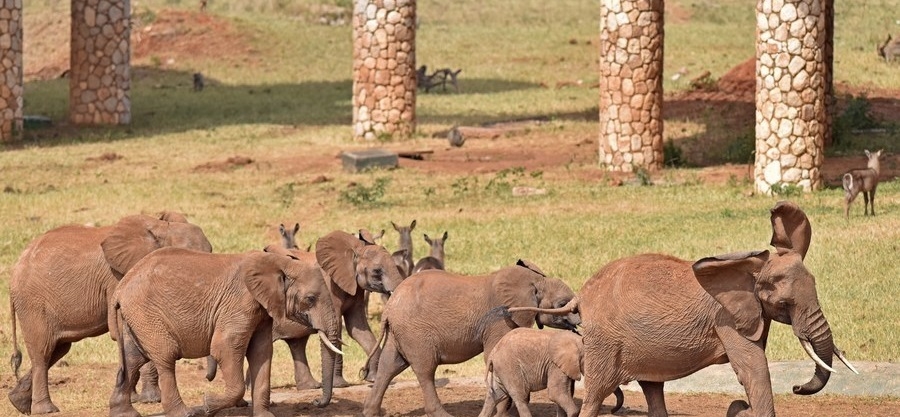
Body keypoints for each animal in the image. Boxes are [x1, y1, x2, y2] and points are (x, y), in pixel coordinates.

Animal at [7, 212, 212, 415]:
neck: (161, 229)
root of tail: (15, 268)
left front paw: (139, 398)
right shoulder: (120, 277)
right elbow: (128, 332)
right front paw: (149, 399)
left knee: (58, 348)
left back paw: (18, 403)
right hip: (32, 303)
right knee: (42, 351)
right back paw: (46, 410)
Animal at [108, 247, 343, 417]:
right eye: (310, 299)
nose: (316, 401)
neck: (279, 262)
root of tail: (120, 288)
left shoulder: (262, 310)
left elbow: (261, 353)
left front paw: (265, 416)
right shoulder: (240, 303)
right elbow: (225, 348)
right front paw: (207, 405)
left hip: (137, 318)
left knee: (133, 360)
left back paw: (125, 414)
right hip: (146, 314)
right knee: (165, 357)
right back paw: (185, 413)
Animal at [362, 259, 582, 417]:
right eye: (562, 303)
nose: (579, 320)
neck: (535, 281)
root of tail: (389, 307)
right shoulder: (500, 319)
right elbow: (492, 355)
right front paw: (504, 413)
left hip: (399, 332)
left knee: (389, 366)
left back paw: (370, 413)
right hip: (415, 333)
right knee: (425, 369)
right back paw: (442, 415)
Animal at [477, 328, 623, 417]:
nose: (612, 411)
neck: (576, 340)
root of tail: (493, 353)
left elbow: (564, 393)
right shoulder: (555, 365)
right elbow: (556, 393)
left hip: (501, 369)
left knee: (493, 397)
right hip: (509, 367)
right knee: (520, 397)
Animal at [524, 201, 858, 417]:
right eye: (784, 303)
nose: (797, 387)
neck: (749, 268)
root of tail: (581, 295)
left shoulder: (751, 313)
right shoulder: (727, 318)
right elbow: (753, 369)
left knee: (652, 389)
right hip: (604, 343)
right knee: (596, 395)